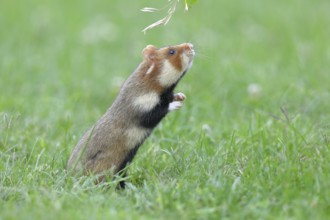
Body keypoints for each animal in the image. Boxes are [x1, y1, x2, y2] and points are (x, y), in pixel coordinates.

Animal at [68, 42, 195, 186]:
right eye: (171, 51)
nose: (190, 45)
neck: (143, 89)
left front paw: (180, 96)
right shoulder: (142, 108)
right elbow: (159, 110)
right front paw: (176, 104)